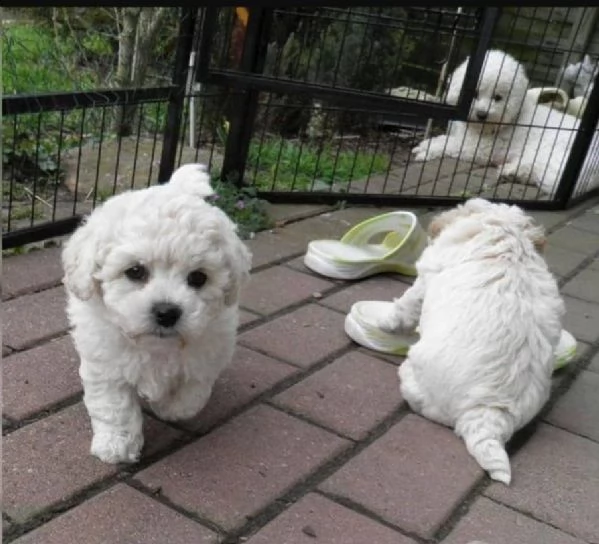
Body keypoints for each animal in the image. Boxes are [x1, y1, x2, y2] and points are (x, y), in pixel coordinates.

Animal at [378, 199, 564, 484]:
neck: (505, 235)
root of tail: (488, 412)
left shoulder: (426, 278)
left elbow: (406, 305)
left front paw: (385, 320)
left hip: (423, 380)